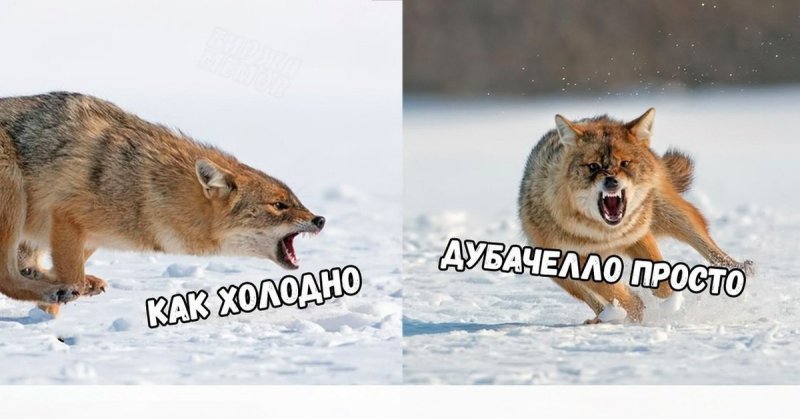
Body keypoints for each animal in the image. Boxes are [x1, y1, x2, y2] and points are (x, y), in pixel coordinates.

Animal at [0, 92, 325, 316]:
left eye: (295, 200)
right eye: (279, 206)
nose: (320, 220)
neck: (147, 190)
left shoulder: (87, 236)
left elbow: (66, 270)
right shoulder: (67, 216)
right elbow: (70, 275)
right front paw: (61, 297)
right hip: (13, 196)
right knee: (7, 278)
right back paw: (55, 290)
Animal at [518, 108, 752, 323]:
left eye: (624, 163)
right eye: (593, 166)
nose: (611, 181)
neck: (605, 234)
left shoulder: (637, 235)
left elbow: (659, 279)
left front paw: (669, 305)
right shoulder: (571, 259)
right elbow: (612, 290)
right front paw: (637, 309)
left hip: (671, 215)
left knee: (708, 246)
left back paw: (740, 270)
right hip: (559, 274)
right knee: (594, 300)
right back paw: (606, 317)